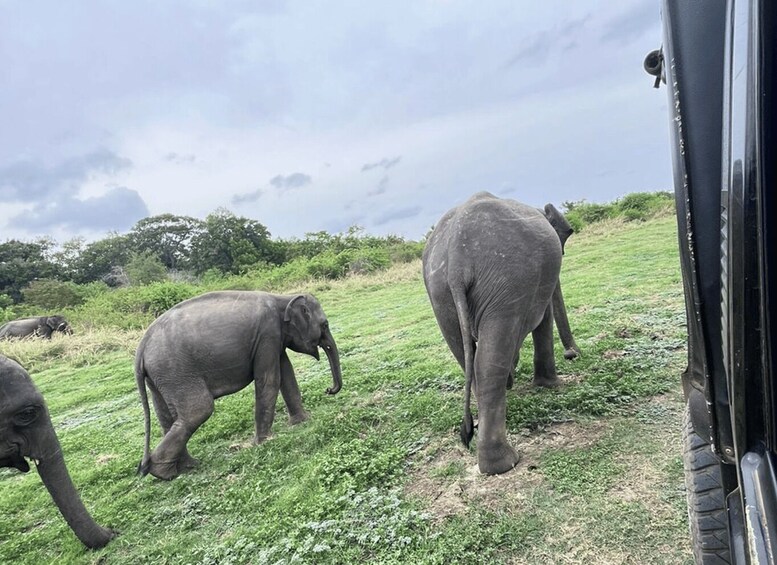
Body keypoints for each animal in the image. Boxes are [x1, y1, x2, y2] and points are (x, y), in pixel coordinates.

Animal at [136, 291, 343, 480]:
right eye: (325, 325)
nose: (328, 390)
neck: (282, 298)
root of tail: (141, 347)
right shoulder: (267, 335)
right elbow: (270, 379)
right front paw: (264, 442)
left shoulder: (274, 340)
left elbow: (287, 373)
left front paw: (302, 421)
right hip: (176, 372)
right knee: (198, 411)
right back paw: (165, 472)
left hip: (160, 378)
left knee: (167, 417)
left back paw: (184, 467)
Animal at [422, 191, 577, 475]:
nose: (572, 354)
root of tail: (457, 258)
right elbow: (543, 317)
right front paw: (548, 385)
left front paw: (514, 381)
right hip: (506, 279)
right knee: (489, 360)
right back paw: (503, 463)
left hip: (440, 293)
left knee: (466, 355)